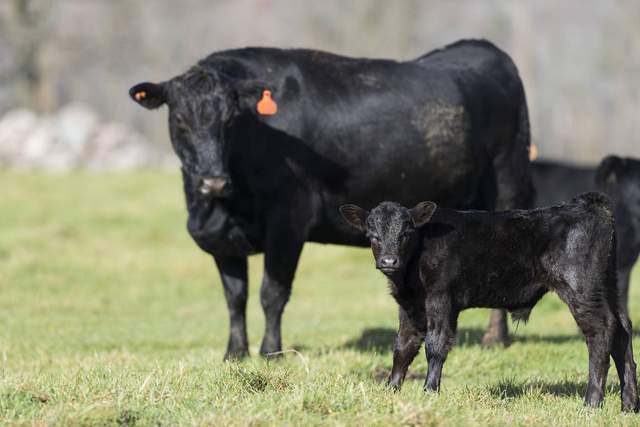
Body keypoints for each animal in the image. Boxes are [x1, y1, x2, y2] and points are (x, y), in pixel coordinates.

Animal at [129, 41, 528, 362]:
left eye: (229, 121)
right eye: (180, 120)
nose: (213, 181)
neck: (220, 208)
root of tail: (483, 47)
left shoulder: (288, 222)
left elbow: (271, 293)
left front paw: (271, 352)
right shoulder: (222, 240)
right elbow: (234, 297)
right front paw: (235, 353)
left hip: (507, 183)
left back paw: (495, 338)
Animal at [344, 194, 640, 412]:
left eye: (405, 233)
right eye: (372, 235)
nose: (389, 261)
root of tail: (588, 203)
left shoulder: (441, 299)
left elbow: (435, 346)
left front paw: (429, 391)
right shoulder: (411, 306)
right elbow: (403, 347)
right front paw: (391, 390)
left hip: (582, 288)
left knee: (601, 330)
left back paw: (591, 403)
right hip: (608, 285)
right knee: (623, 331)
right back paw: (629, 405)